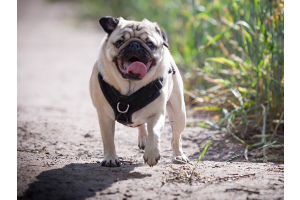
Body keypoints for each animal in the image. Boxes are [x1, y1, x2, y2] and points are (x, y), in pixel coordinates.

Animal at [88, 16, 190, 167]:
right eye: (119, 43)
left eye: (150, 44)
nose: (135, 44)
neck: (131, 85)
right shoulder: (104, 116)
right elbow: (108, 139)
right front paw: (110, 158)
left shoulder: (157, 113)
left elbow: (154, 132)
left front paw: (152, 154)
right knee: (141, 125)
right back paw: (143, 140)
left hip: (178, 113)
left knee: (176, 138)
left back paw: (178, 156)